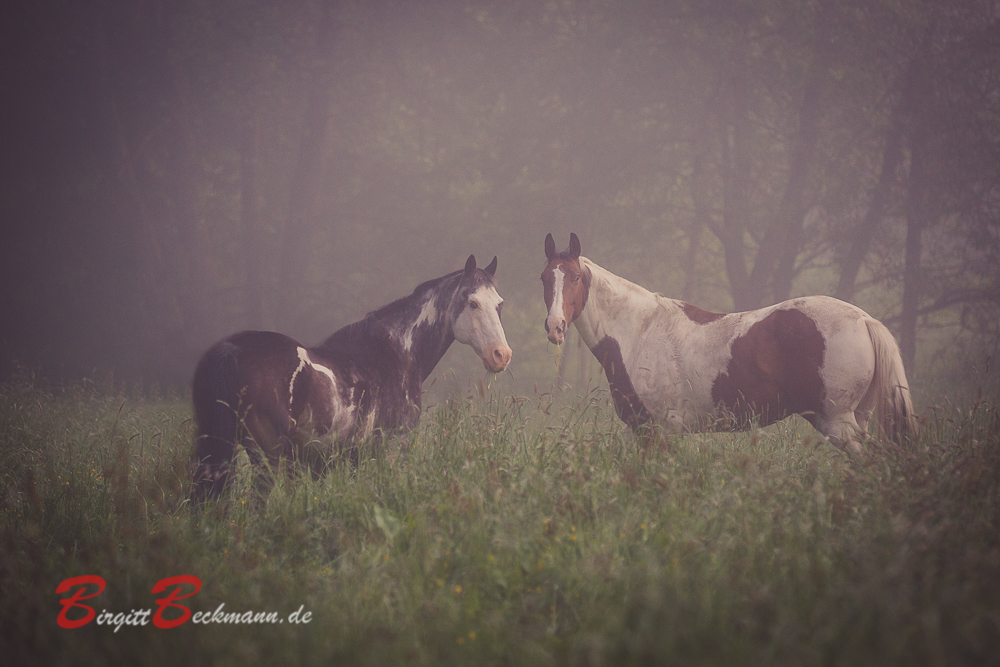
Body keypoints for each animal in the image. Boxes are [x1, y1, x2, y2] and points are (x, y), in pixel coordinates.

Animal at [191, 256, 512, 500]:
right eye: (472, 303)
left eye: (499, 304)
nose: (501, 355)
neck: (396, 352)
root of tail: (232, 349)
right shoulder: (389, 450)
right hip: (266, 456)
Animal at [544, 232, 916, 456]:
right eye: (545, 278)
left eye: (575, 277)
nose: (555, 327)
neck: (638, 331)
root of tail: (864, 320)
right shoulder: (638, 430)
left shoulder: (661, 431)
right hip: (855, 418)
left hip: (838, 422)